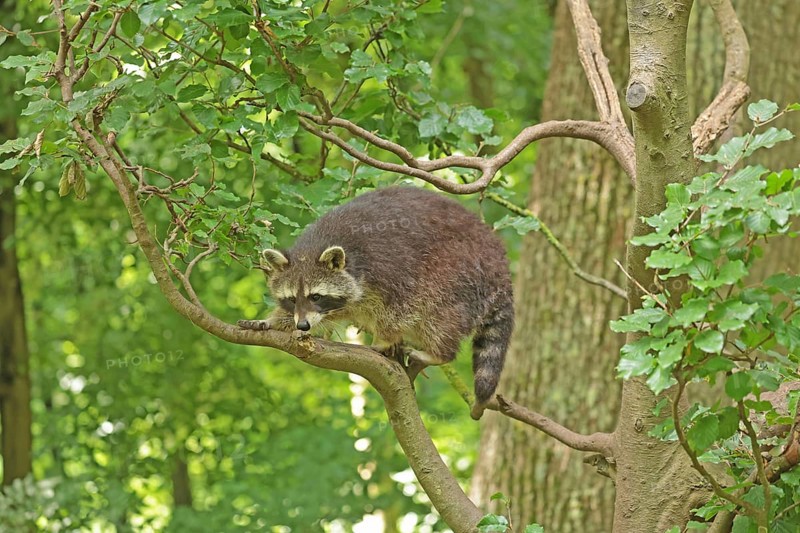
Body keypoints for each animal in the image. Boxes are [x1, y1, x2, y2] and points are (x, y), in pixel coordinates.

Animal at [239, 186, 515, 419]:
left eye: (315, 296)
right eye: (292, 299)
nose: (303, 326)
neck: (315, 247)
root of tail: (498, 260)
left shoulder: (390, 266)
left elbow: (399, 308)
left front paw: (385, 337)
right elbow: (336, 311)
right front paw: (272, 321)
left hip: (458, 271)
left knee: (437, 310)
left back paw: (438, 352)